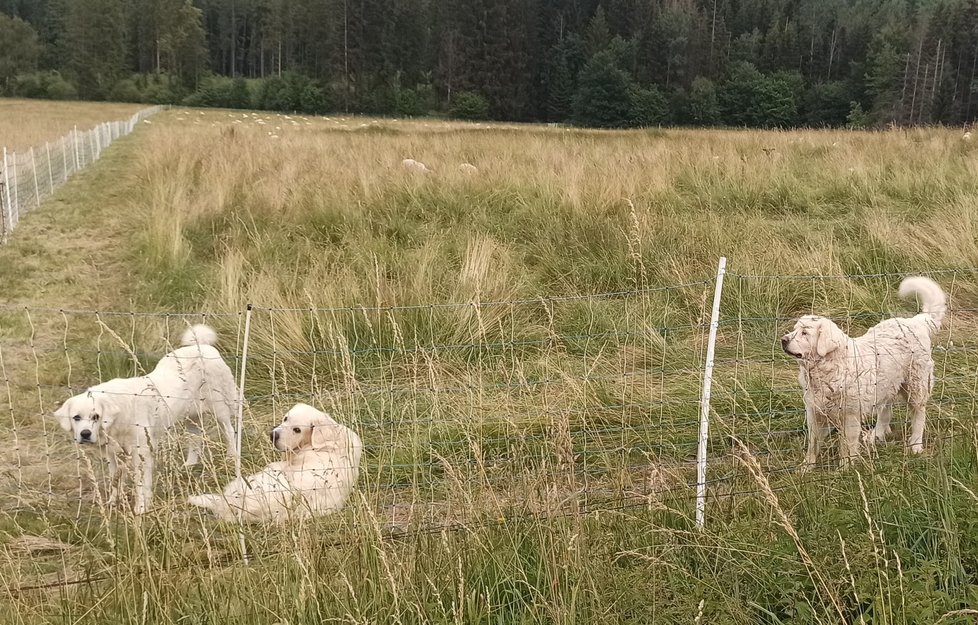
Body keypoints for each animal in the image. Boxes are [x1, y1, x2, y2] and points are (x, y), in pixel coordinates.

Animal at [53, 324, 240, 516]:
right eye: (76, 417)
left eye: (96, 416)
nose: (85, 434)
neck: (118, 417)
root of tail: (201, 346)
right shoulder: (113, 454)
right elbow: (115, 479)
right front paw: (113, 502)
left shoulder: (141, 452)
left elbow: (141, 484)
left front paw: (142, 508)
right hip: (190, 415)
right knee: (195, 438)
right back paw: (189, 465)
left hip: (220, 407)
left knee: (229, 430)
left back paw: (231, 457)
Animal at [776, 278, 944, 468]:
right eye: (795, 330)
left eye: (805, 333)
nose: (783, 340)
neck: (829, 368)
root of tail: (916, 321)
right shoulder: (815, 413)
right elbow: (813, 444)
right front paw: (807, 467)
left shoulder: (850, 416)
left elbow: (847, 445)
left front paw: (845, 468)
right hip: (886, 384)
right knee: (886, 412)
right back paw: (877, 435)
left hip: (916, 385)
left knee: (918, 414)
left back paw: (915, 445)